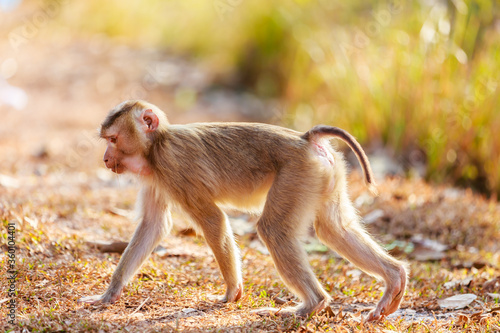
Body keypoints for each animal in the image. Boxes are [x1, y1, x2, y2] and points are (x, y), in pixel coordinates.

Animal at [77, 100, 406, 320]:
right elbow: (153, 225)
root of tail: (306, 139)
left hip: (297, 173)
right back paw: (394, 279)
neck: (157, 145)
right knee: (333, 229)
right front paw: (110, 294)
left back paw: (312, 304)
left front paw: (232, 293)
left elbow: (212, 219)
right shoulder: (156, 176)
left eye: (113, 140)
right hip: (325, 174)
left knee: (274, 230)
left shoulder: (173, 166)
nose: (105, 159)